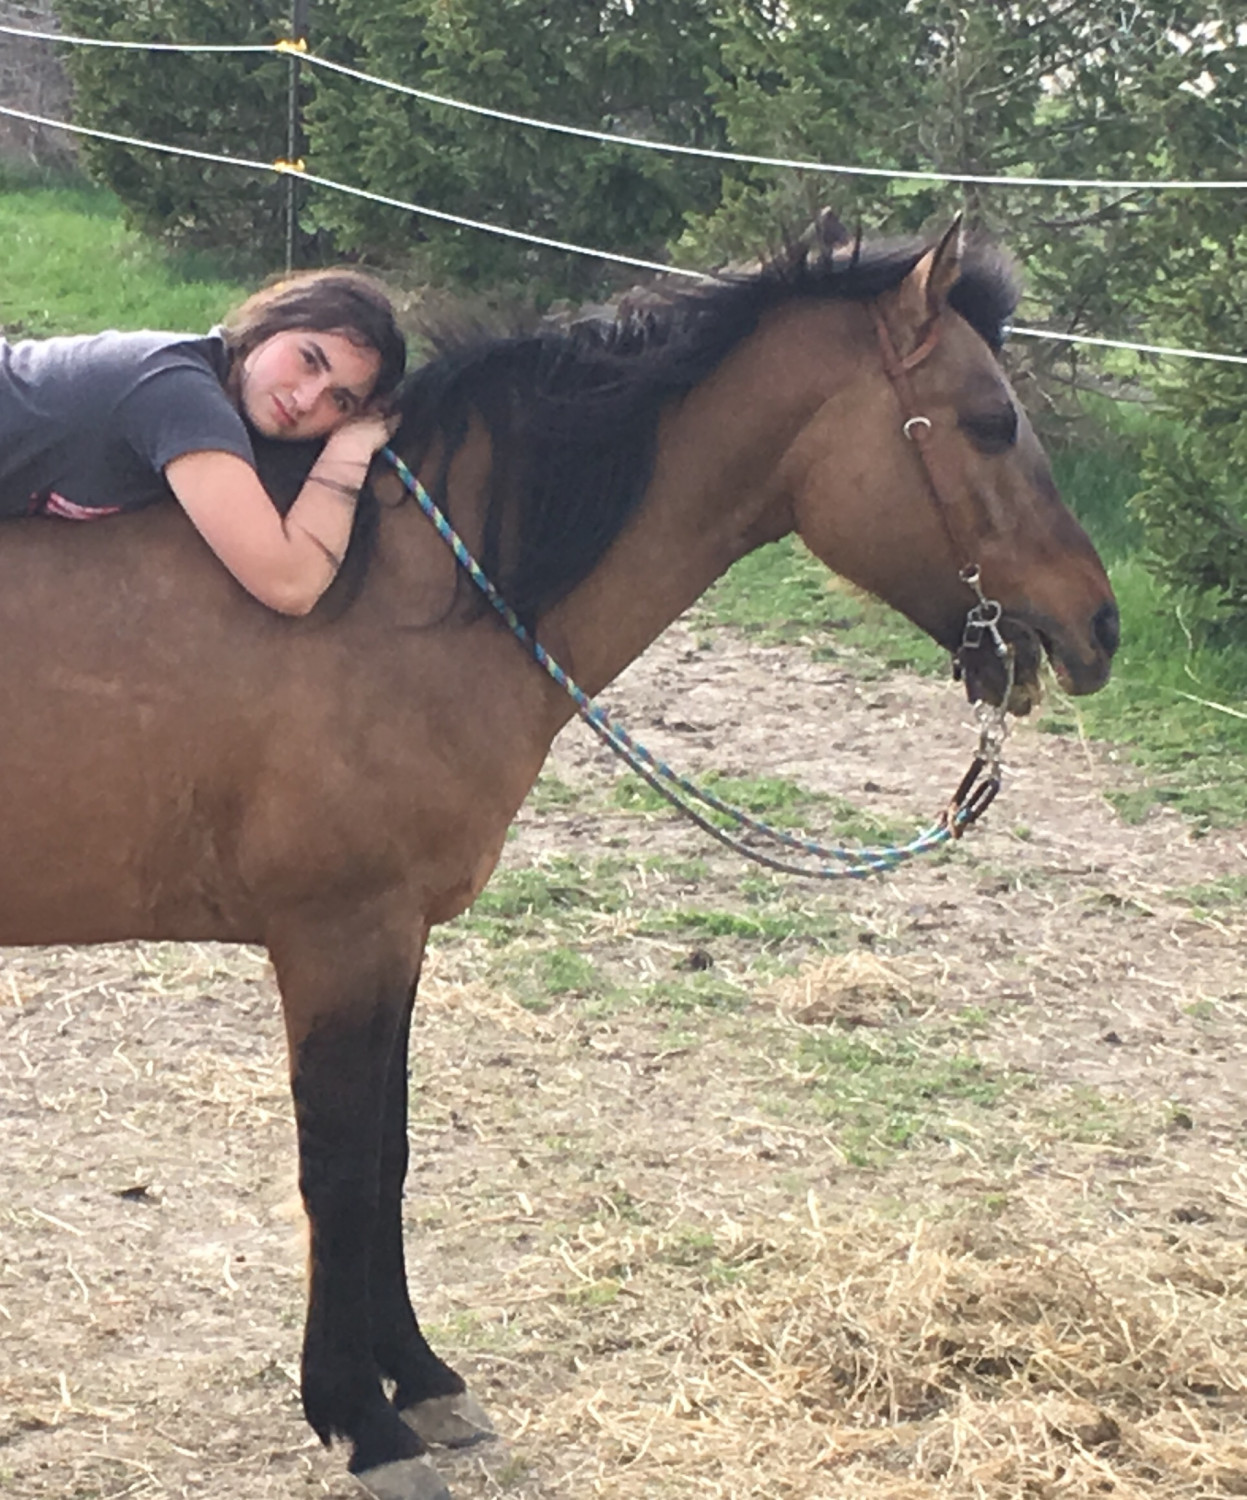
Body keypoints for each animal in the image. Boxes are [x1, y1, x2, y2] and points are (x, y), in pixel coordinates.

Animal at [0, 222, 1117, 1500]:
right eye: (988, 420)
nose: (1098, 626)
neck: (397, 595)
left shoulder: (395, 940)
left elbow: (388, 1154)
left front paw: (419, 1380)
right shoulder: (337, 938)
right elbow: (338, 1168)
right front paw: (361, 1419)